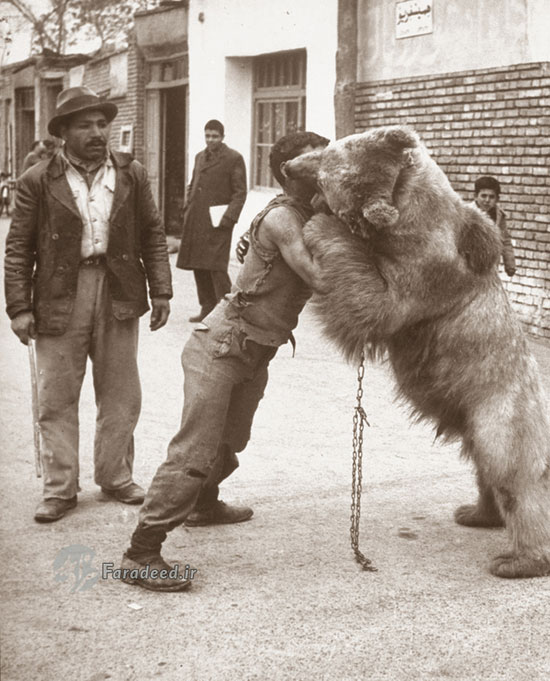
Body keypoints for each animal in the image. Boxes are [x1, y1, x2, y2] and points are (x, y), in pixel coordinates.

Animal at [284, 125, 550, 576]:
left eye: (323, 167)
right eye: (330, 146)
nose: (286, 165)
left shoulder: (424, 273)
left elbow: (373, 302)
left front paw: (322, 226)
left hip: (502, 410)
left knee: (513, 473)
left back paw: (518, 559)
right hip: (472, 413)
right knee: (484, 467)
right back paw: (476, 514)